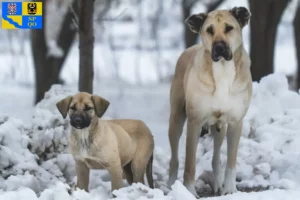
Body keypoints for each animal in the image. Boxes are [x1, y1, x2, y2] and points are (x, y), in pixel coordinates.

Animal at [168, 7, 252, 197]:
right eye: (209, 30)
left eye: (229, 28)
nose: (219, 47)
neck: (222, 70)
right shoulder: (194, 122)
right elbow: (190, 163)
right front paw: (189, 191)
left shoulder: (236, 122)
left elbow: (231, 162)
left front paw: (230, 189)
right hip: (176, 120)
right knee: (175, 158)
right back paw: (170, 185)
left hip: (220, 128)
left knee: (216, 157)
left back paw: (218, 183)